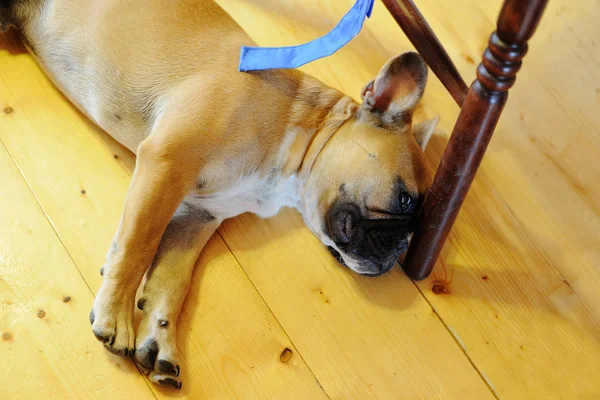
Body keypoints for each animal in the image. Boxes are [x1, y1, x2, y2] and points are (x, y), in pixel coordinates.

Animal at [2, 0, 438, 390]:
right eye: (404, 199)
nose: (402, 244)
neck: (298, 125)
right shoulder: (167, 161)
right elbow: (137, 245)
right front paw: (116, 316)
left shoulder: (195, 217)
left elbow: (171, 282)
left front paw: (160, 342)